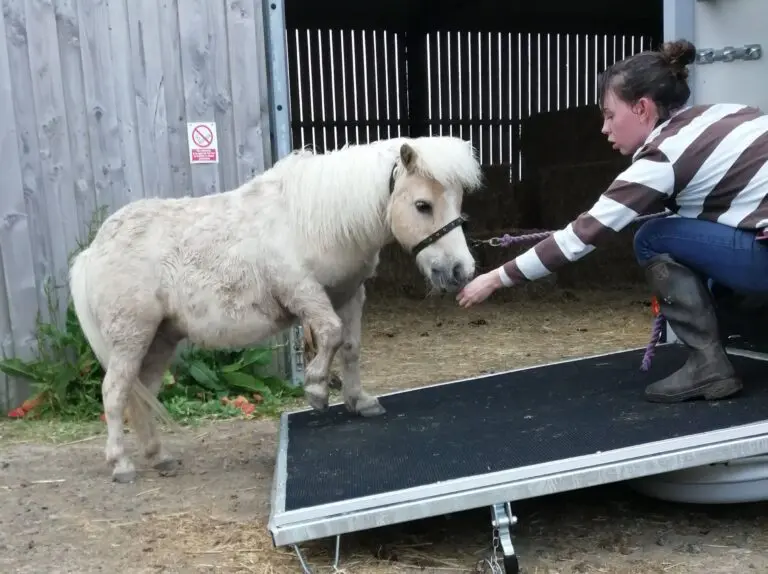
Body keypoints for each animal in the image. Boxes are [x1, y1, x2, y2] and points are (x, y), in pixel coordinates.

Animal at [68, 135, 484, 483]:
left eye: (458, 201)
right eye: (422, 205)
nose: (460, 270)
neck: (315, 221)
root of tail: (95, 250)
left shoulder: (350, 296)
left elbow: (350, 347)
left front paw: (359, 401)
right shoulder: (304, 294)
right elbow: (330, 334)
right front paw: (316, 390)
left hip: (160, 338)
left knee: (143, 393)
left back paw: (159, 456)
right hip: (131, 337)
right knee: (115, 390)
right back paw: (121, 463)